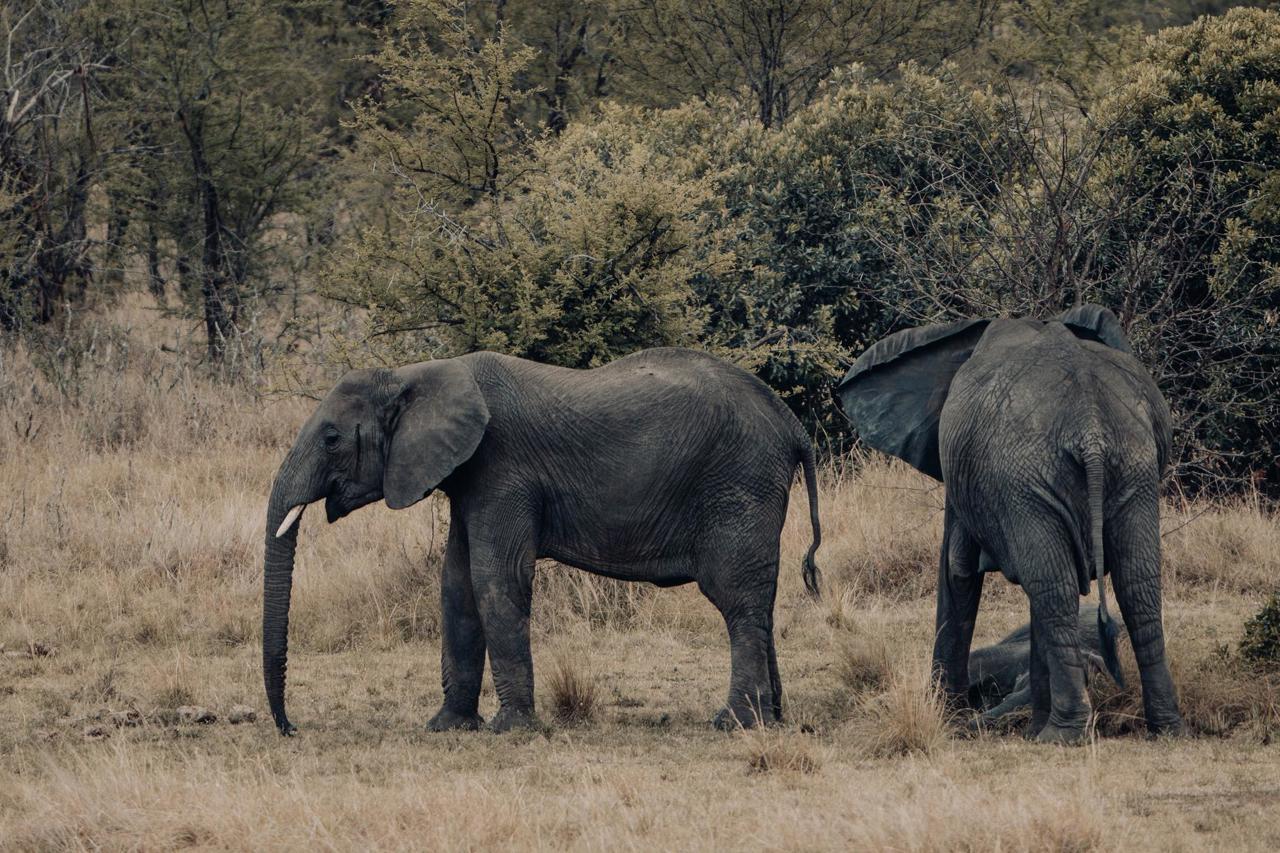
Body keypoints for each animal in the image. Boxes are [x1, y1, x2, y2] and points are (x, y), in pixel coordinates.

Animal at [263, 347, 822, 735]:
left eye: (331, 438)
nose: (292, 729)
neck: (416, 373)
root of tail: (793, 427)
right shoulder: (468, 478)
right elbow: (456, 586)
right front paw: (447, 727)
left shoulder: (501, 469)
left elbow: (495, 581)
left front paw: (509, 729)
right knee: (759, 602)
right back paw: (772, 719)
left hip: (740, 483)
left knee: (737, 600)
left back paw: (734, 723)